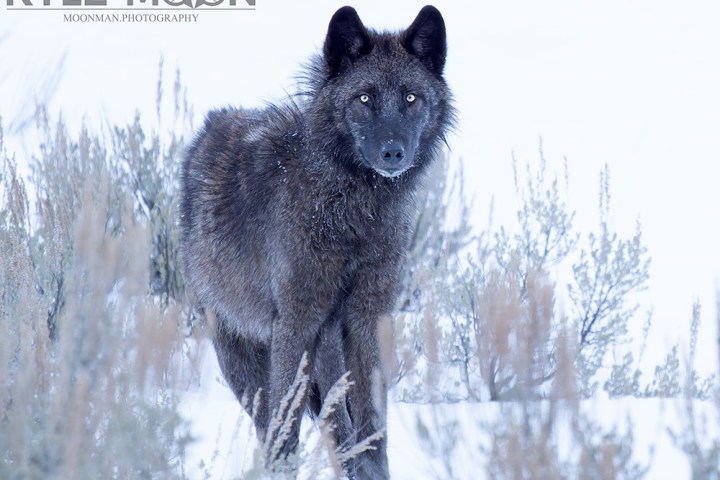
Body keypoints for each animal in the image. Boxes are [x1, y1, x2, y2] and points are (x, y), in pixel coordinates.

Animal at [180, 5, 453, 478]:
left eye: (411, 98)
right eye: (364, 99)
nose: (392, 152)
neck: (354, 212)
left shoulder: (366, 320)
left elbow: (372, 431)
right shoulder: (295, 323)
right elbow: (285, 432)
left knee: (336, 425)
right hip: (242, 358)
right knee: (272, 421)